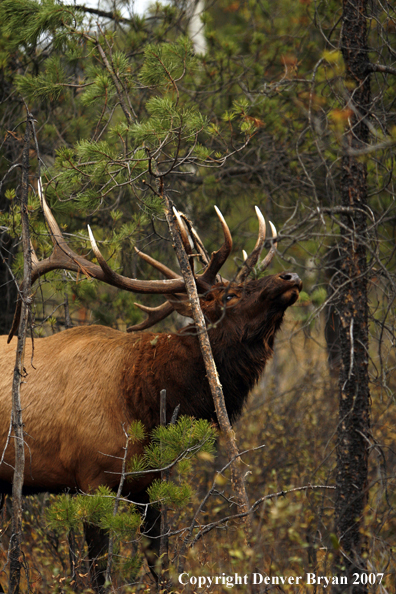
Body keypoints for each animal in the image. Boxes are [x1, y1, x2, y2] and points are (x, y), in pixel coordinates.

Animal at [0, 188, 302, 588]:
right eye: (229, 296)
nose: (290, 275)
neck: (141, 404)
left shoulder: (151, 485)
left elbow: (161, 566)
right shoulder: (90, 480)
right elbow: (100, 575)